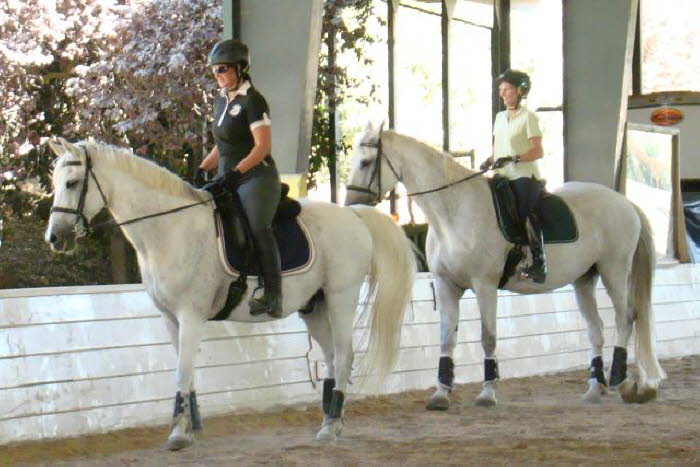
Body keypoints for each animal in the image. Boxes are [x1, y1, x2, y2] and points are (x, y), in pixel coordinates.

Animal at [45, 138, 416, 450]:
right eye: (54, 183)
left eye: (72, 183)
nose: (55, 238)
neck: (169, 230)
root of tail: (354, 215)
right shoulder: (170, 319)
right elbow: (188, 372)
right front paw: (191, 427)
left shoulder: (191, 316)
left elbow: (182, 371)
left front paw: (177, 433)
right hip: (315, 306)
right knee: (330, 358)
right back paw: (328, 422)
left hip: (341, 298)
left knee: (344, 356)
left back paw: (332, 425)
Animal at [348, 123, 664, 410]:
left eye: (365, 162)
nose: (351, 202)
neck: (456, 210)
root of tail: (625, 202)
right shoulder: (446, 284)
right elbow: (446, 339)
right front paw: (440, 394)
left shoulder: (485, 285)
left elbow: (488, 337)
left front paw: (487, 393)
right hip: (584, 279)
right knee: (595, 329)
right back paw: (594, 389)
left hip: (614, 270)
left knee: (626, 317)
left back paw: (621, 381)